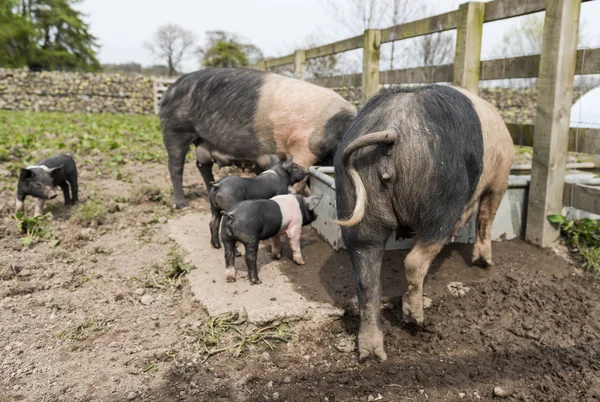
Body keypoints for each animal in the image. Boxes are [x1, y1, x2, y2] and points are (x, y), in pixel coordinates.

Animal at [158, 67, 356, 209]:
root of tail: (170, 89)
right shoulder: (303, 147)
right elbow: (300, 178)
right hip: (175, 129)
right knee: (175, 166)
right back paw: (181, 205)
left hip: (203, 141)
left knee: (202, 165)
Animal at [336, 85, 512, 362]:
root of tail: (391, 132)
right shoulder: (500, 178)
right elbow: (486, 216)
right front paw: (485, 263)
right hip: (440, 199)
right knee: (415, 260)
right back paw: (416, 320)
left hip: (356, 205)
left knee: (366, 277)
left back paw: (373, 354)